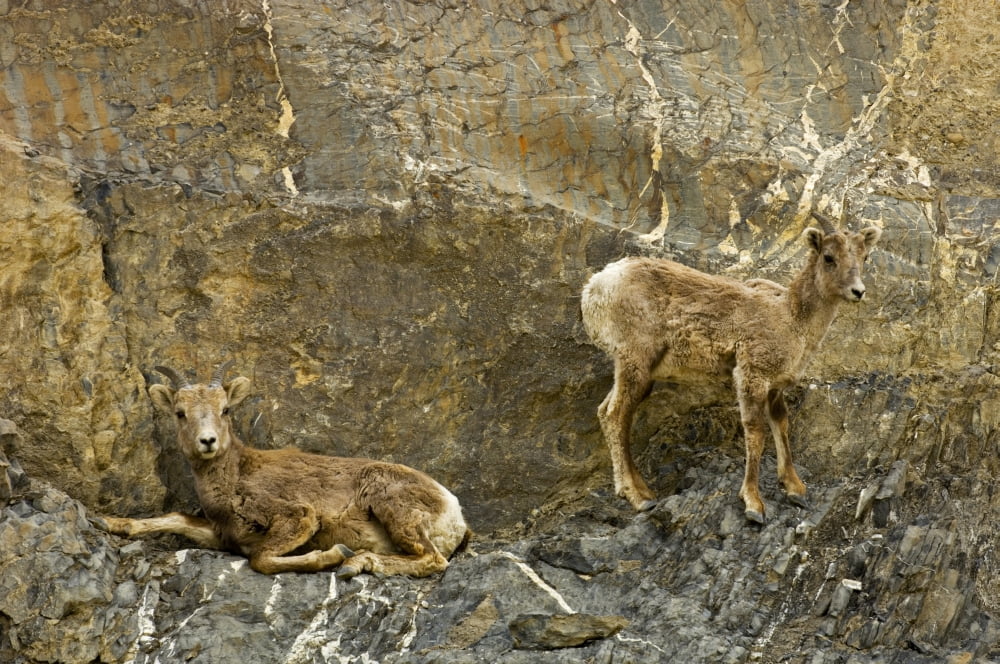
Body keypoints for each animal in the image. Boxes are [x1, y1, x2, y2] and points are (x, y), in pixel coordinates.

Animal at [94, 361, 470, 577]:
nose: (208, 441)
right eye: (180, 413)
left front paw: (334, 554)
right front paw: (108, 522)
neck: (234, 479)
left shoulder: (298, 517)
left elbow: (260, 559)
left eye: (226, 409)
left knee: (434, 559)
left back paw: (355, 562)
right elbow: (174, 519)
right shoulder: (222, 534)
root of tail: (453, 510)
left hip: (394, 507)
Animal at [580, 214, 882, 523]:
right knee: (616, 414)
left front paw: (795, 489)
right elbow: (756, 431)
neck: (791, 317)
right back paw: (638, 497)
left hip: (634, 370)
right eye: (829, 257)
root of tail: (594, 288)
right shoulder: (751, 374)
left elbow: (781, 425)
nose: (858, 291)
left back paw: (641, 490)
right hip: (635, 361)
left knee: (606, 411)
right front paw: (753, 504)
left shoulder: (775, 386)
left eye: (865, 256)